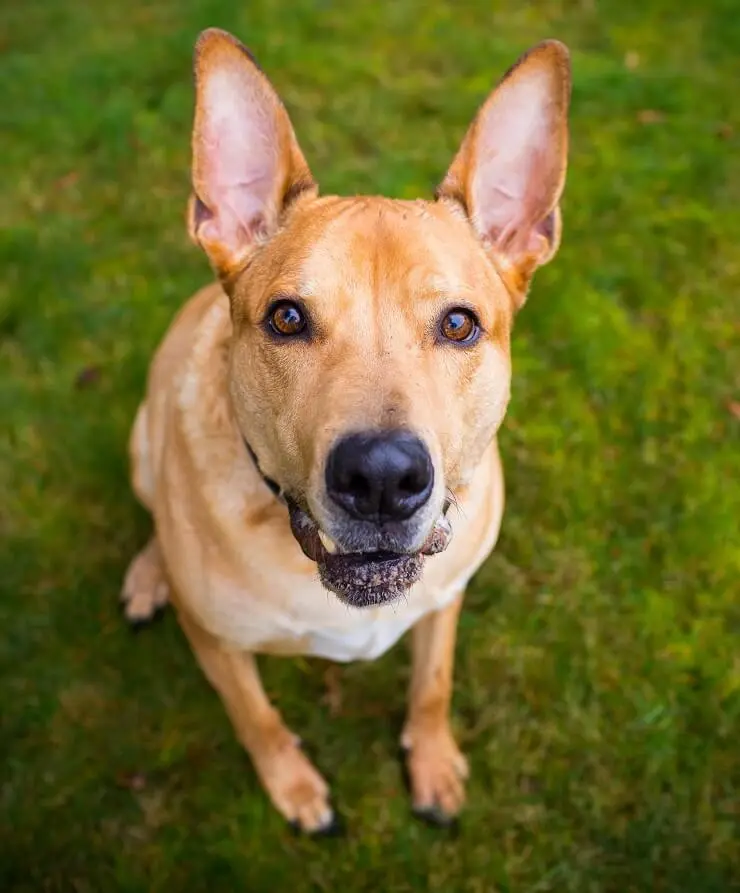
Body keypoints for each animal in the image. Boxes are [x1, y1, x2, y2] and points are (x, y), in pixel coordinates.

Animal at [123, 29, 572, 836]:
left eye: (459, 324)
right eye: (286, 318)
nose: (383, 479)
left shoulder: (447, 596)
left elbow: (433, 683)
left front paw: (432, 762)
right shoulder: (218, 645)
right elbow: (258, 719)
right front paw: (293, 787)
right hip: (143, 441)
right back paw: (150, 574)